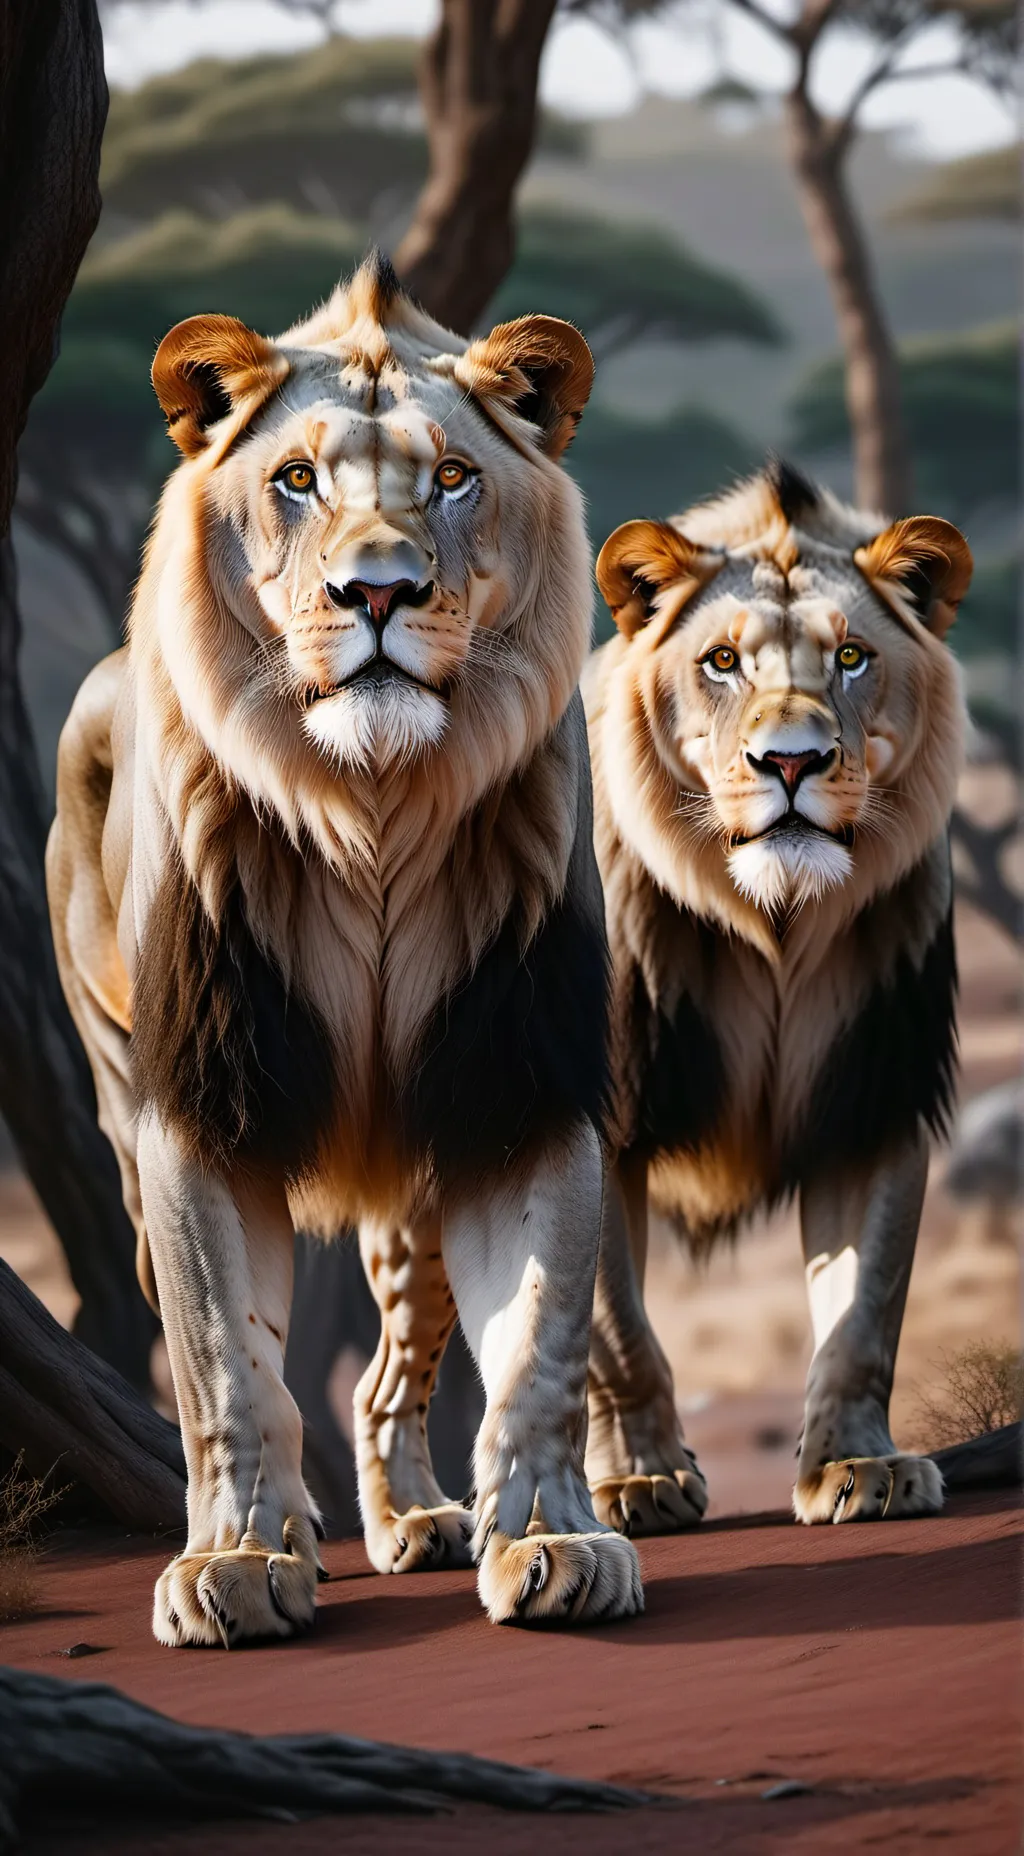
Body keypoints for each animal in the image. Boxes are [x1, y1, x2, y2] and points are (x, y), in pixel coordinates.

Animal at [47, 252, 642, 1644]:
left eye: (454, 476)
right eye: (296, 480)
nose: (378, 590)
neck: (369, 807)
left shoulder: (513, 1085)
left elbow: (536, 1343)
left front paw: (551, 1537)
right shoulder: (198, 1102)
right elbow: (228, 1362)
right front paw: (236, 1561)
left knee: (385, 1372)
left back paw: (416, 1513)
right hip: (116, 1099)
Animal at [581, 460, 972, 1531]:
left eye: (850, 657)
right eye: (721, 662)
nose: (791, 761)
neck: (776, 925)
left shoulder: (873, 1093)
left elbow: (863, 1316)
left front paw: (859, 1466)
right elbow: (617, 1332)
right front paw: (638, 1481)